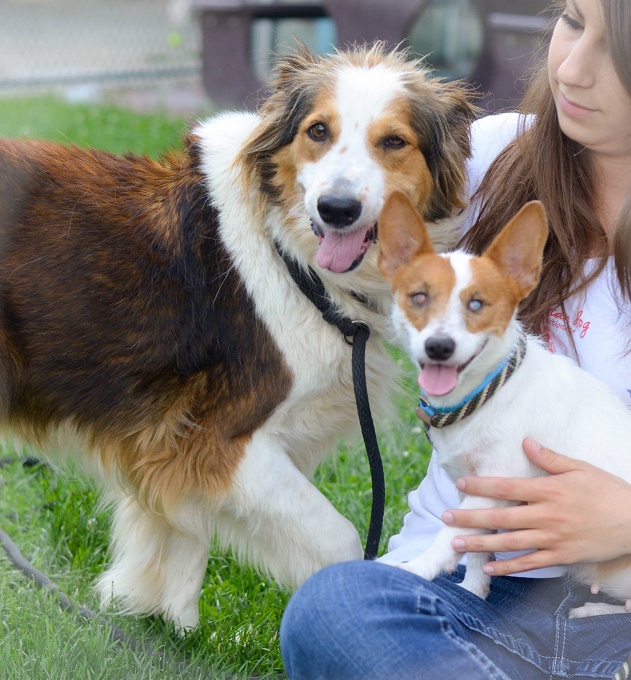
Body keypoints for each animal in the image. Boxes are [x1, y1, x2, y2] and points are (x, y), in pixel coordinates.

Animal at [378, 190, 631, 616]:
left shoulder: (495, 482)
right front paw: (473, 589)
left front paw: (419, 568)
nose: (439, 346)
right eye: (419, 297)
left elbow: (451, 533)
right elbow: (475, 548)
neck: (484, 397)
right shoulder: (474, 488)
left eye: (477, 305)